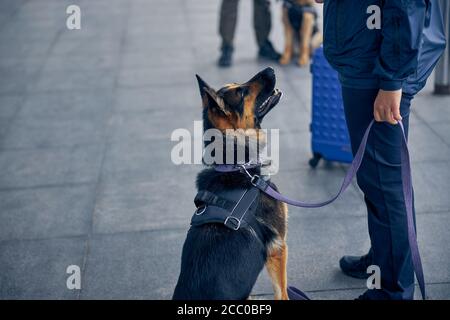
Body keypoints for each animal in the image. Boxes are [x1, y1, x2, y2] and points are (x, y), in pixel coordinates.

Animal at [172, 67, 288, 300]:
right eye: (242, 93)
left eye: (238, 84)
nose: (270, 69)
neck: (236, 164)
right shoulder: (278, 249)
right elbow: (283, 293)